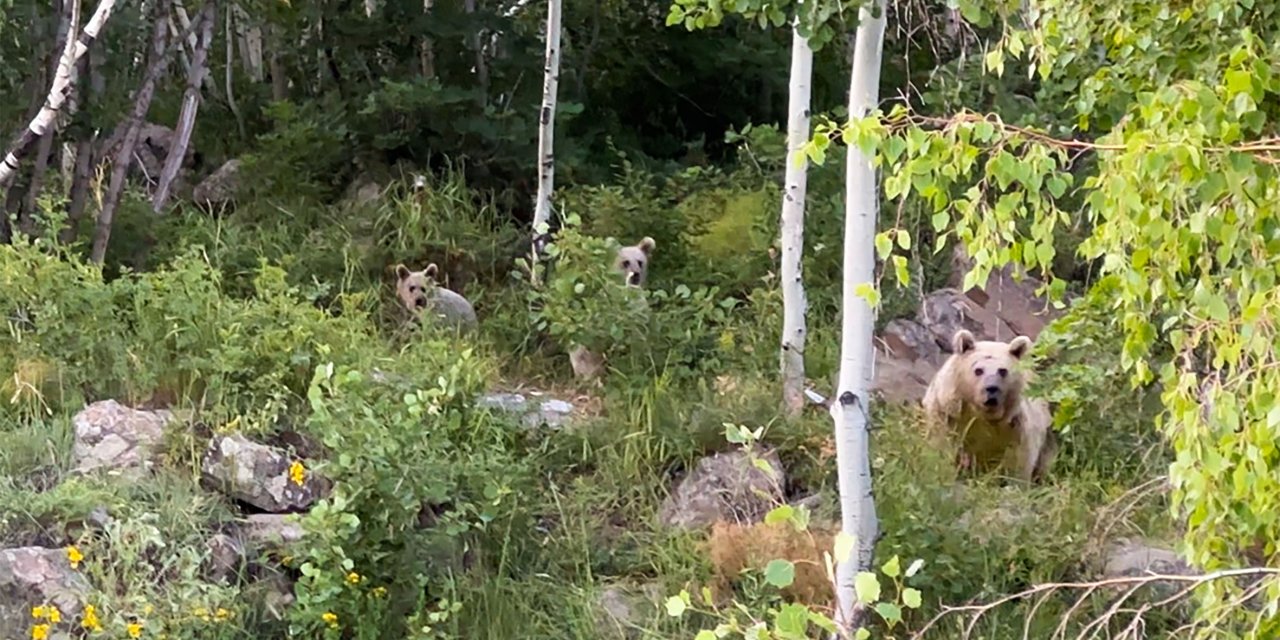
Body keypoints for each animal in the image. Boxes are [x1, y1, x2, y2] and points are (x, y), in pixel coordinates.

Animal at [926, 327, 1054, 481]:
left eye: (1003, 371)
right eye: (979, 370)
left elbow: (1019, 460)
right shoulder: (947, 413)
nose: (992, 388)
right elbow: (941, 445)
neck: (981, 413)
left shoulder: (1016, 426)